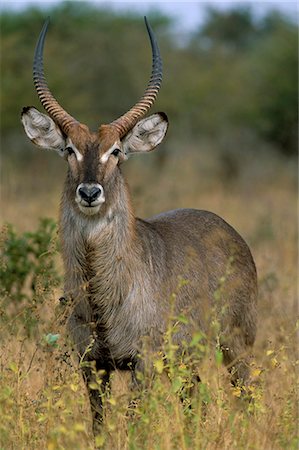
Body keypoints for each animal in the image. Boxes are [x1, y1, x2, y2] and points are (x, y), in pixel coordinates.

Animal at [22, 17, 258, 432]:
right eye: (69, 150)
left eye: (116, 151)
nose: (89, 192)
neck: (104, 297)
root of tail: (232, 233)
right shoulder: (92, 365)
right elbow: (99, 427)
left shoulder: (142, 362)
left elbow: (134, 423)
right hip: (187, 360)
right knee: (194, 400)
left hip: (236, 344)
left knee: (246, 396)